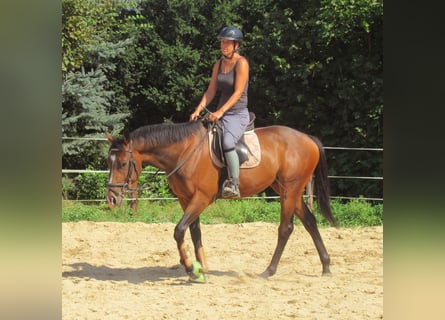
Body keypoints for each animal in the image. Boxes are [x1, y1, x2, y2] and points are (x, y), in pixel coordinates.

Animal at [106, 119, 336, 282]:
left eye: (124, 163)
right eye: (109, 162)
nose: (111, 198)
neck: (185, 152)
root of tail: (307, 138)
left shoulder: (201, 198)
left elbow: (179, 230)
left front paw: (191, 268)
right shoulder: (185, 199)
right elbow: (194, 231)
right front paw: (201, 268)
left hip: (290, 190)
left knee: (285, 228)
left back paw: (269, 270)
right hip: (288, 191)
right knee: (310, 222)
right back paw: (325, 266)